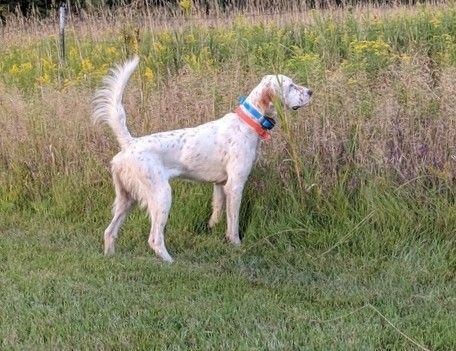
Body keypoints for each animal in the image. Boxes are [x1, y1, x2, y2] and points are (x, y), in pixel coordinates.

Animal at [92, 57, 314, 262]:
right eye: (291, 85)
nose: (311, 91)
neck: (248, 122)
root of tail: (130, 143)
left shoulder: (220, 184)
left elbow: (216, 212)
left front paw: (212, 231)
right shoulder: (235, 184)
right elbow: (233, 223)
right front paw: (236, 245)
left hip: (126, 198)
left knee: (109, 231)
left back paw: (110, 256)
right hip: (161, 195)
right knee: (154, 238)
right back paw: (170, 262)